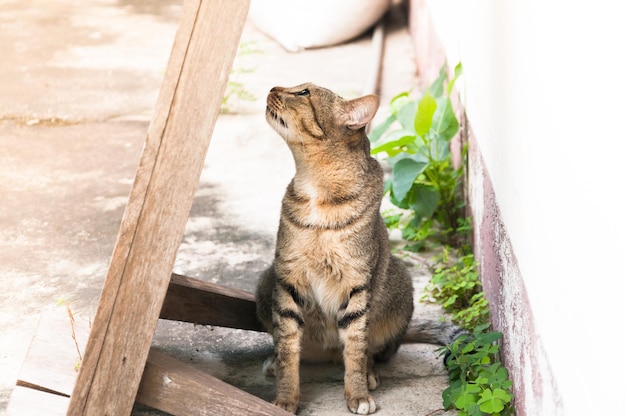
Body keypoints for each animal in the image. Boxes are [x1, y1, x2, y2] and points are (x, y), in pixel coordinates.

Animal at [254, 83, 464, 414]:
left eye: (304, 93)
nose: (273, 87)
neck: (317, 189)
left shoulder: (356, 286)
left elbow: (355, 347)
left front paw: (358, 393)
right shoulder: (288, 279)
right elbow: (288, 347)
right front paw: (285, 399)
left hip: (398, 283)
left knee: (373, 350)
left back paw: (368, 373)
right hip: (266, 280)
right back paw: (275, 362)